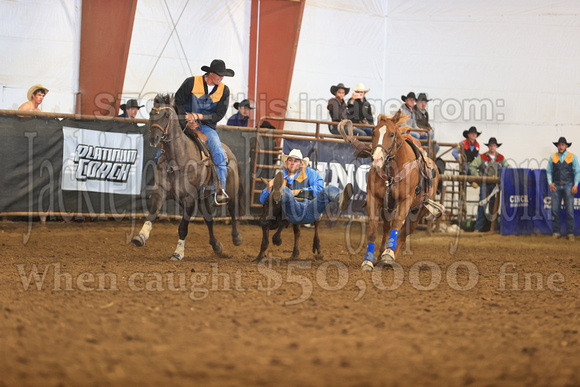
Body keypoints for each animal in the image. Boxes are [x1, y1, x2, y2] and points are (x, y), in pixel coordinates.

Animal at [133, 94, 244, 260]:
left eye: (167, 115)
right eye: (151, 114)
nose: (153, 139)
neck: (177, 159)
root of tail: (230, 154)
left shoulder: (189, 199)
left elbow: (183, 227)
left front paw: (178, 253)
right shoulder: (160, 192)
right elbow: (151, 215)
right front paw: (140, 236)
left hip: (230, 190)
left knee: (232, 210)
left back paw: (236, 238)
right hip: (203, 198)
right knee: (209, 219)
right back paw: (216, 246)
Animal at [338, 110, 442, 272]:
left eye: (392, 134)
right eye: (373, 132)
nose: (377, 159)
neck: (392, 172)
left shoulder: (405, 201)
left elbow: (397, 225)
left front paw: (388, 254)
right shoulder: (374, 199)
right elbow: (373, 231)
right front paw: (368, 261)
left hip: (418, 211)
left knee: (403, 234)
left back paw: (389, 256)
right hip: (388, 208)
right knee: (387, 228)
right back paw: (380, 255)